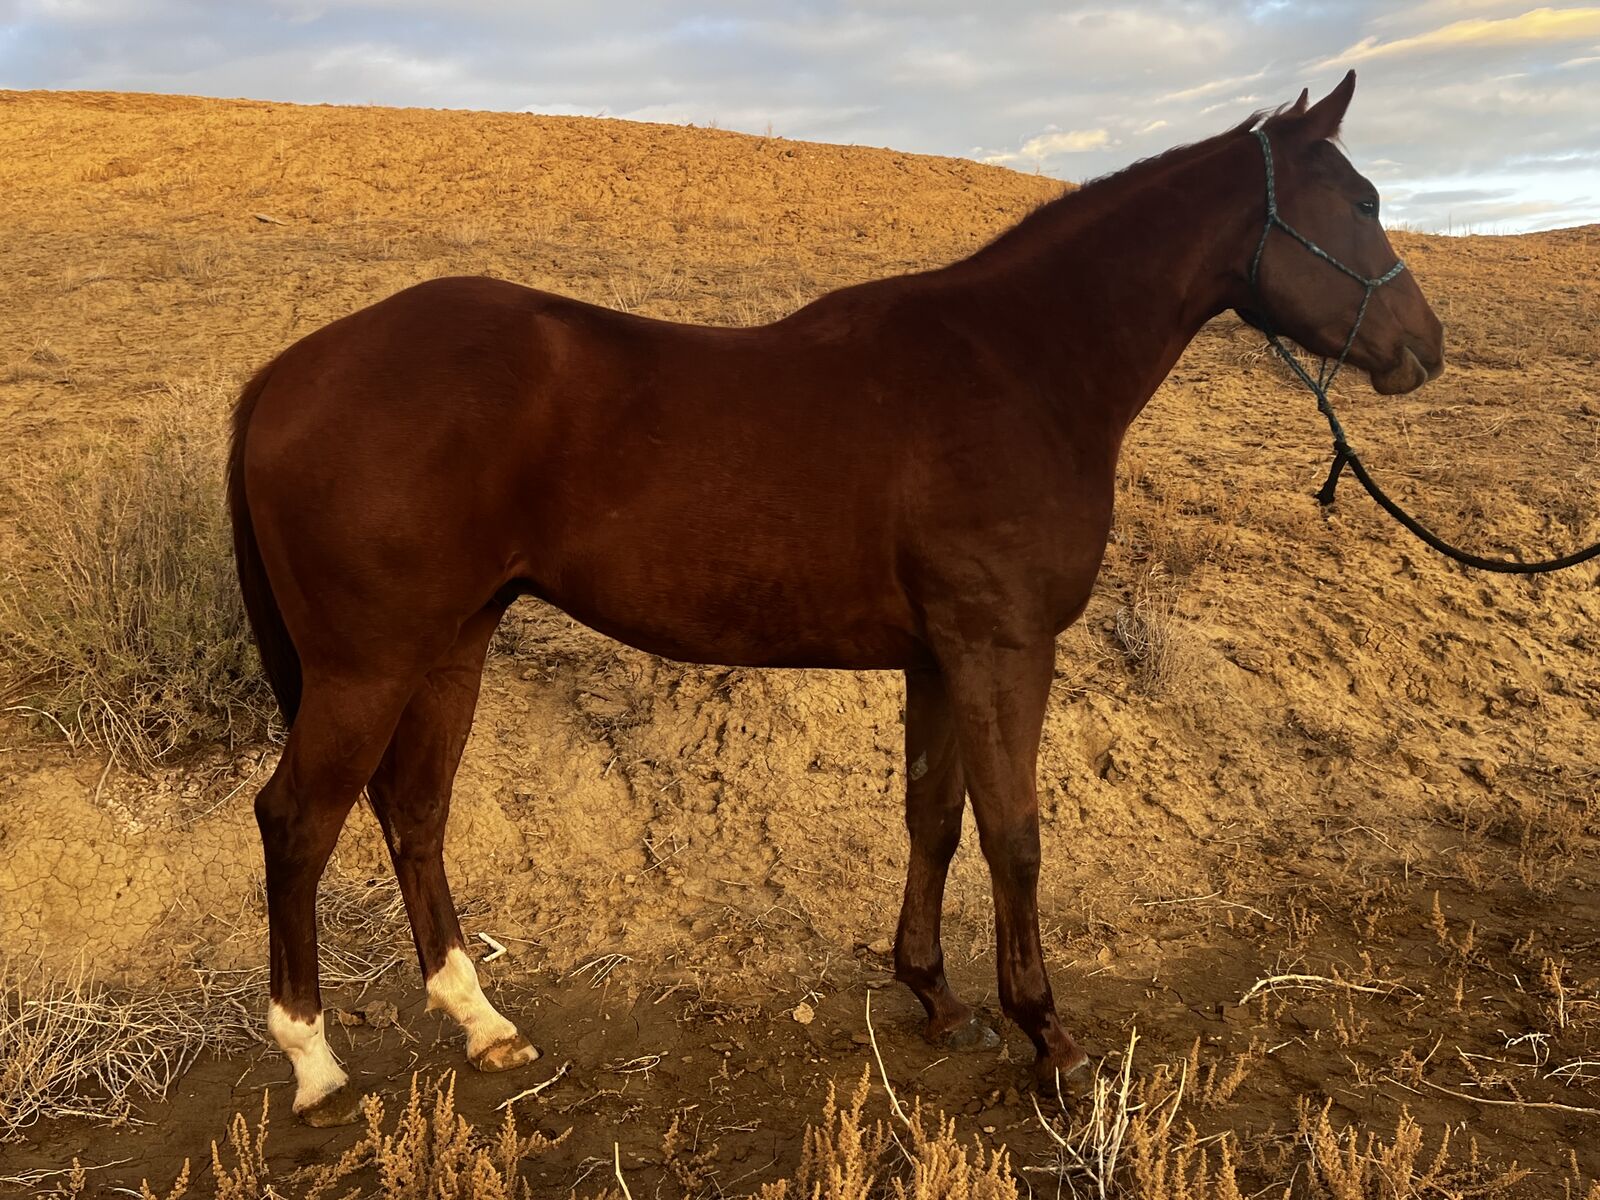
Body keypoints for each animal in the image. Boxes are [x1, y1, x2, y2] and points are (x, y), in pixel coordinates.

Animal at [228, 70, 1444, 1125]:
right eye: (1364, 202)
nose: (1422, 349)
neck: (1017, 367)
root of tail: (288, 372)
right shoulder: (1002, 648)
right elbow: (1014, 833)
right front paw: (1049, 1040)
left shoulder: (941, 657)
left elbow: (934, 820)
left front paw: (938, 997)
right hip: (369, 665)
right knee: (297, 821)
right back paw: (315, 1063)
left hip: (451, 646)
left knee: (414, 815)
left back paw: (483, 1024)